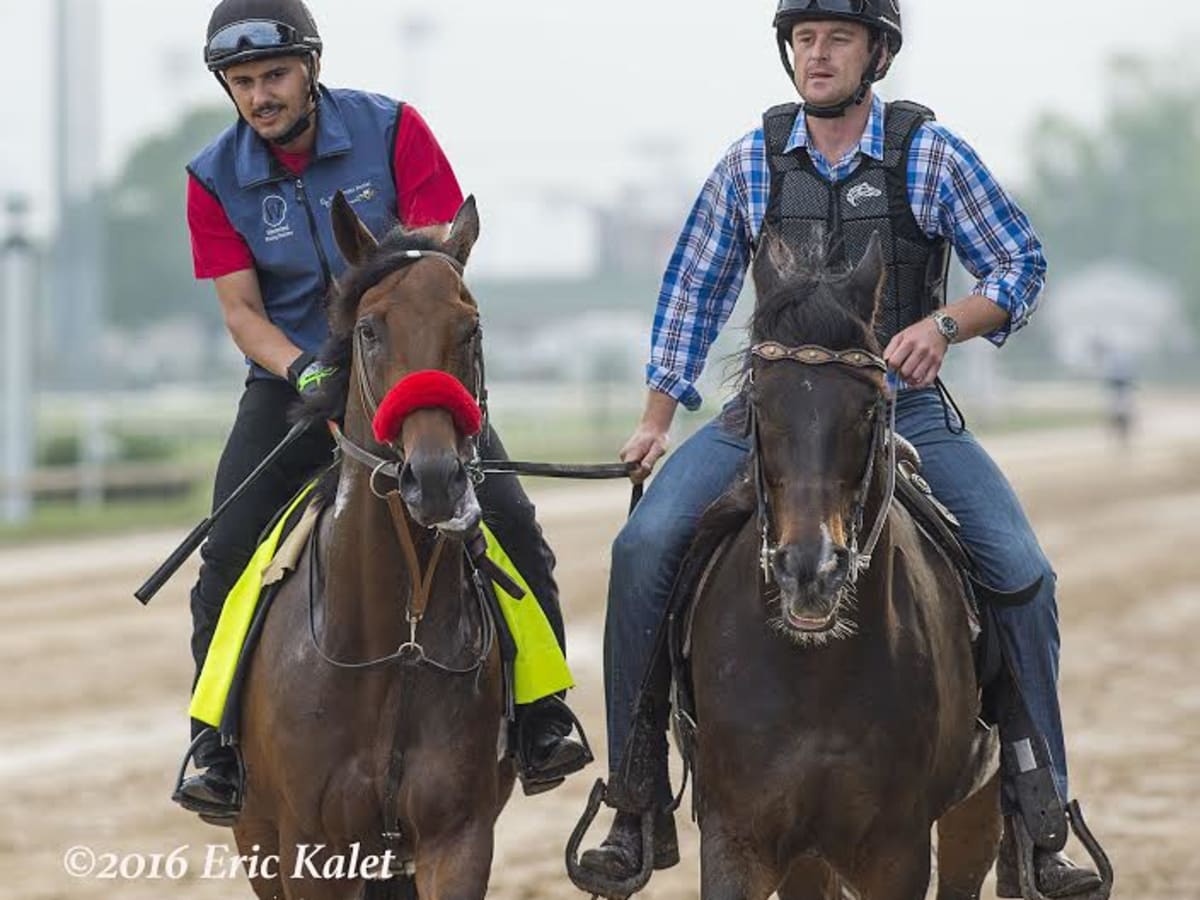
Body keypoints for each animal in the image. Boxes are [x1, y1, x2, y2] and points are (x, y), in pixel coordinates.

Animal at [232, 196, 516, 900]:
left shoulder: (457, 838)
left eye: (470, 329)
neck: (397, 643)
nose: (434, 477)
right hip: (257, 839)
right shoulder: (310, 849)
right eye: (368, 330)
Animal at [686, 232, 1003, 900]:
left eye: (868, 406)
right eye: (761, 401)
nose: (811, 569)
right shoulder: (736, 837)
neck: (814, 675)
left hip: (976, 806)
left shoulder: (896, 853)